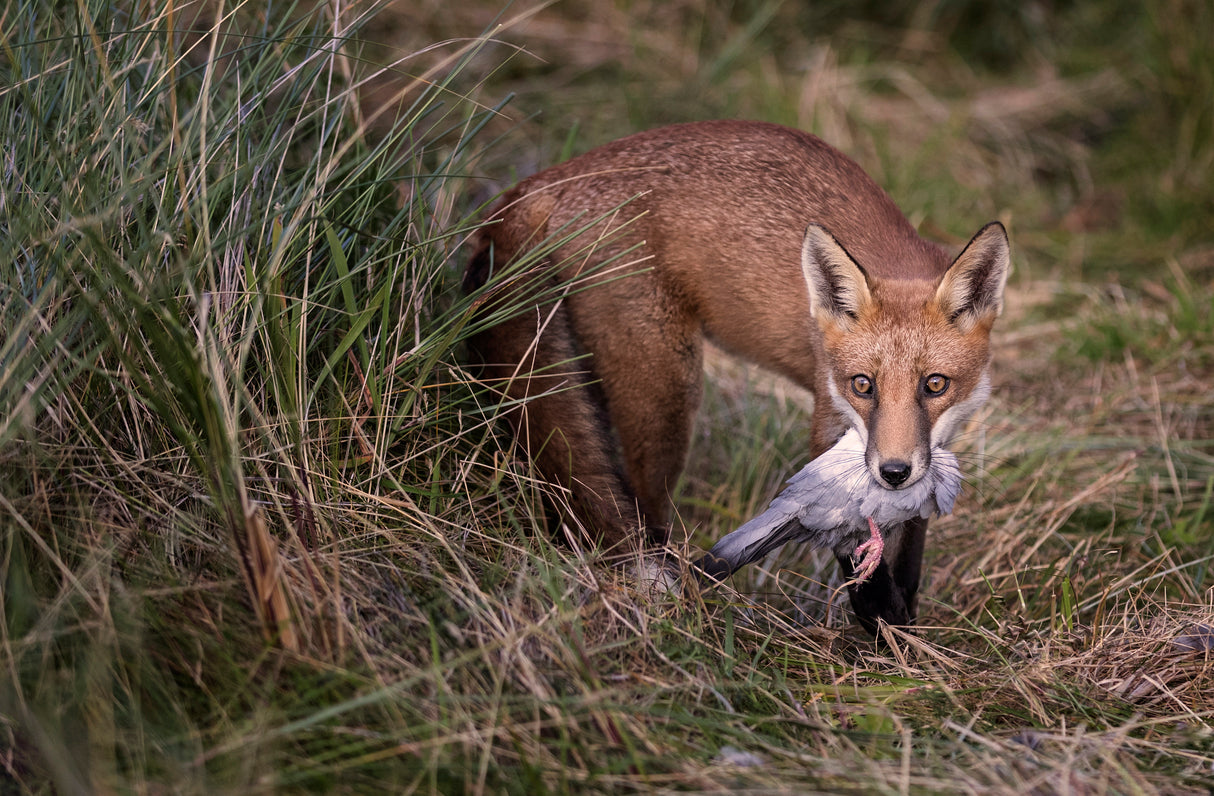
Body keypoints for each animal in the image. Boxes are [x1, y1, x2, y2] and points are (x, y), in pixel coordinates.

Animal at [462, 119, 1010, 633]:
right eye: (863, 385)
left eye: (935, 384)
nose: (893, 473)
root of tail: (539, 181)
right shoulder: (828, 428)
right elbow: (855, 548)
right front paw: (885, 631)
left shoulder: (933, 448)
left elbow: (910, 555)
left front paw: (904, 627)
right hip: (667, 395)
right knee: (643, 508)